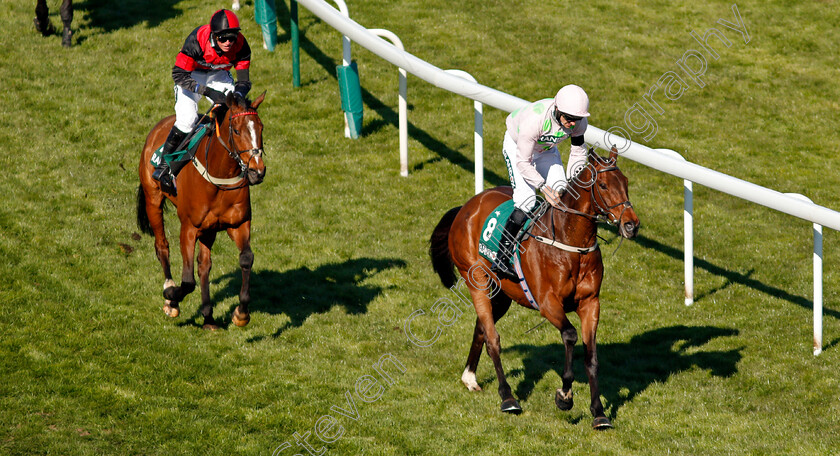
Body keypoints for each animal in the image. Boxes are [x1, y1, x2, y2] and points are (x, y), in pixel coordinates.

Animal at [136, 91, 266, 330]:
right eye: (236, 130)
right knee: (162, 246)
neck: (220, 176)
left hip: (209, 229)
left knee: (204, 264)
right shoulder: (189, 228)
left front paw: (241, 314)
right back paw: (170, 293)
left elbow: (246, 258)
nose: (257, 171)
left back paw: (208, 317)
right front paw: (171, 297)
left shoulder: (238, 224)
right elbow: (187, 281)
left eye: (260, 128)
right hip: (153, 199)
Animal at [430, 148, 640, 430]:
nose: (631, 225)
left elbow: (592, 357)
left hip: (502, 294)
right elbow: (570, 335)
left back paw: (470, 377)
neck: (570, 241)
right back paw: (508, 397)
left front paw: (599, 412)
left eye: (626, 182)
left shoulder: (591, 303)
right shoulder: (548, 302)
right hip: (477, 282)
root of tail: (468, 205)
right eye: (604, 185)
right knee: (493, 339)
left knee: (481, 329)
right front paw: (564, 396)